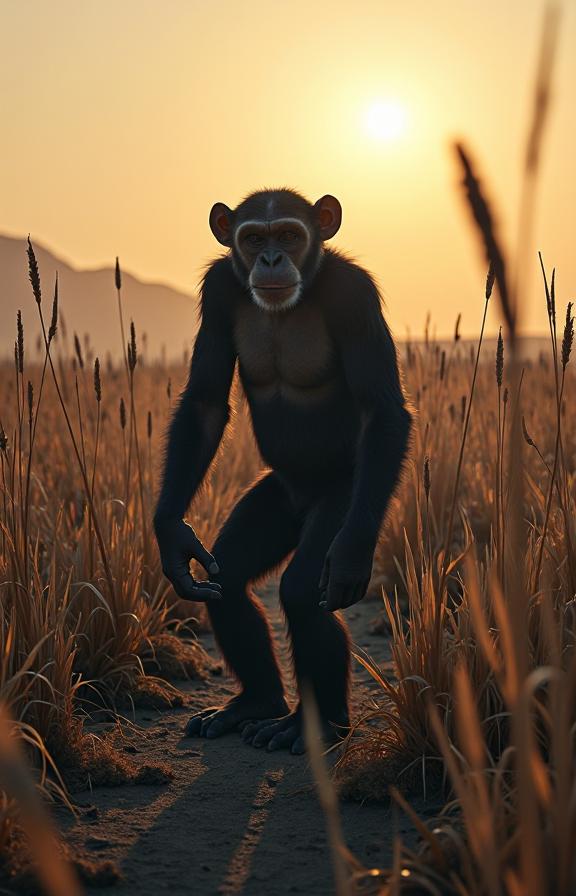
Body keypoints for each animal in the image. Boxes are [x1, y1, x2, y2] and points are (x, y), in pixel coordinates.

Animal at [153, 188, 411, 754]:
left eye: (290, 234)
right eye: (254, 238)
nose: (271, 258)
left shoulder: (354, 297)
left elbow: (383, 411)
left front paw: (351, 554)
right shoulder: (217, 290)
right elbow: (205, 404)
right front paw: (172, 537)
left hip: (346, 498)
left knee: (300, 590)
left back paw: (318, 724)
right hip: (275, 500)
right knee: (228, 577)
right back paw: (258, 703)